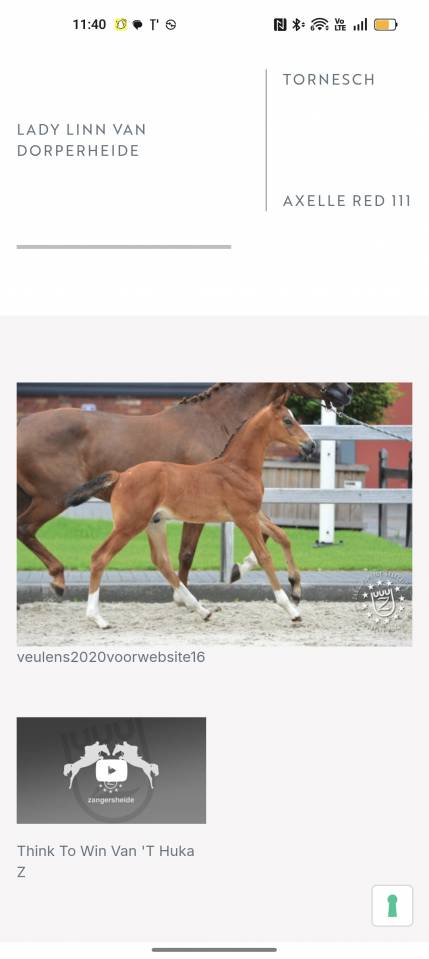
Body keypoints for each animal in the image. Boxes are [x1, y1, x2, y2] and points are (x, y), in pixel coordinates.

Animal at [17, 382, 352, 601]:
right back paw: (58, 579)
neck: (214, 421)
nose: (346, 390)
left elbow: (273, 533)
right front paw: (185, 596)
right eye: (287, 419)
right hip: (53, 498)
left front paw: (245, 572)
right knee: (25, 528)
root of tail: (22, 424)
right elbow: (187, 553)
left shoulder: (237, 503)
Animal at [64, 395, 315, 630]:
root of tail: (122, 475)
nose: (311, 445)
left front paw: (296, 589)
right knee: (100, 557)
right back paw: (98, 618)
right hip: (129, 525)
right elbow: (265, 556)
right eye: (287, 420)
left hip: (154, 523)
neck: (238, 468)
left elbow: (283, 536)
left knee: (161, 562)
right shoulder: (244, 517)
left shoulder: (253, 514)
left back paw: (202, 610)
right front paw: (291, 609)